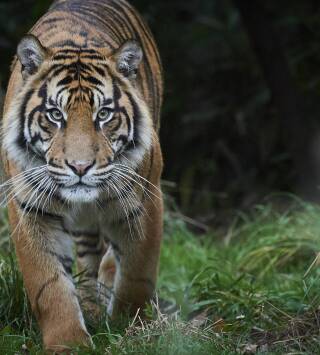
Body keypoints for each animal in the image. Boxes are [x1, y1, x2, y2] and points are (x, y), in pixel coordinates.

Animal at [0, 0, 162, 350]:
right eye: (54, 115)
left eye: (104, 114)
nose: (80, 167)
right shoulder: (31, 209)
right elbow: (49, 285)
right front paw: (70, 344)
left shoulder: (145, 199)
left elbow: (137, 273)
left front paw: (130, 329)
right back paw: (90, 304)